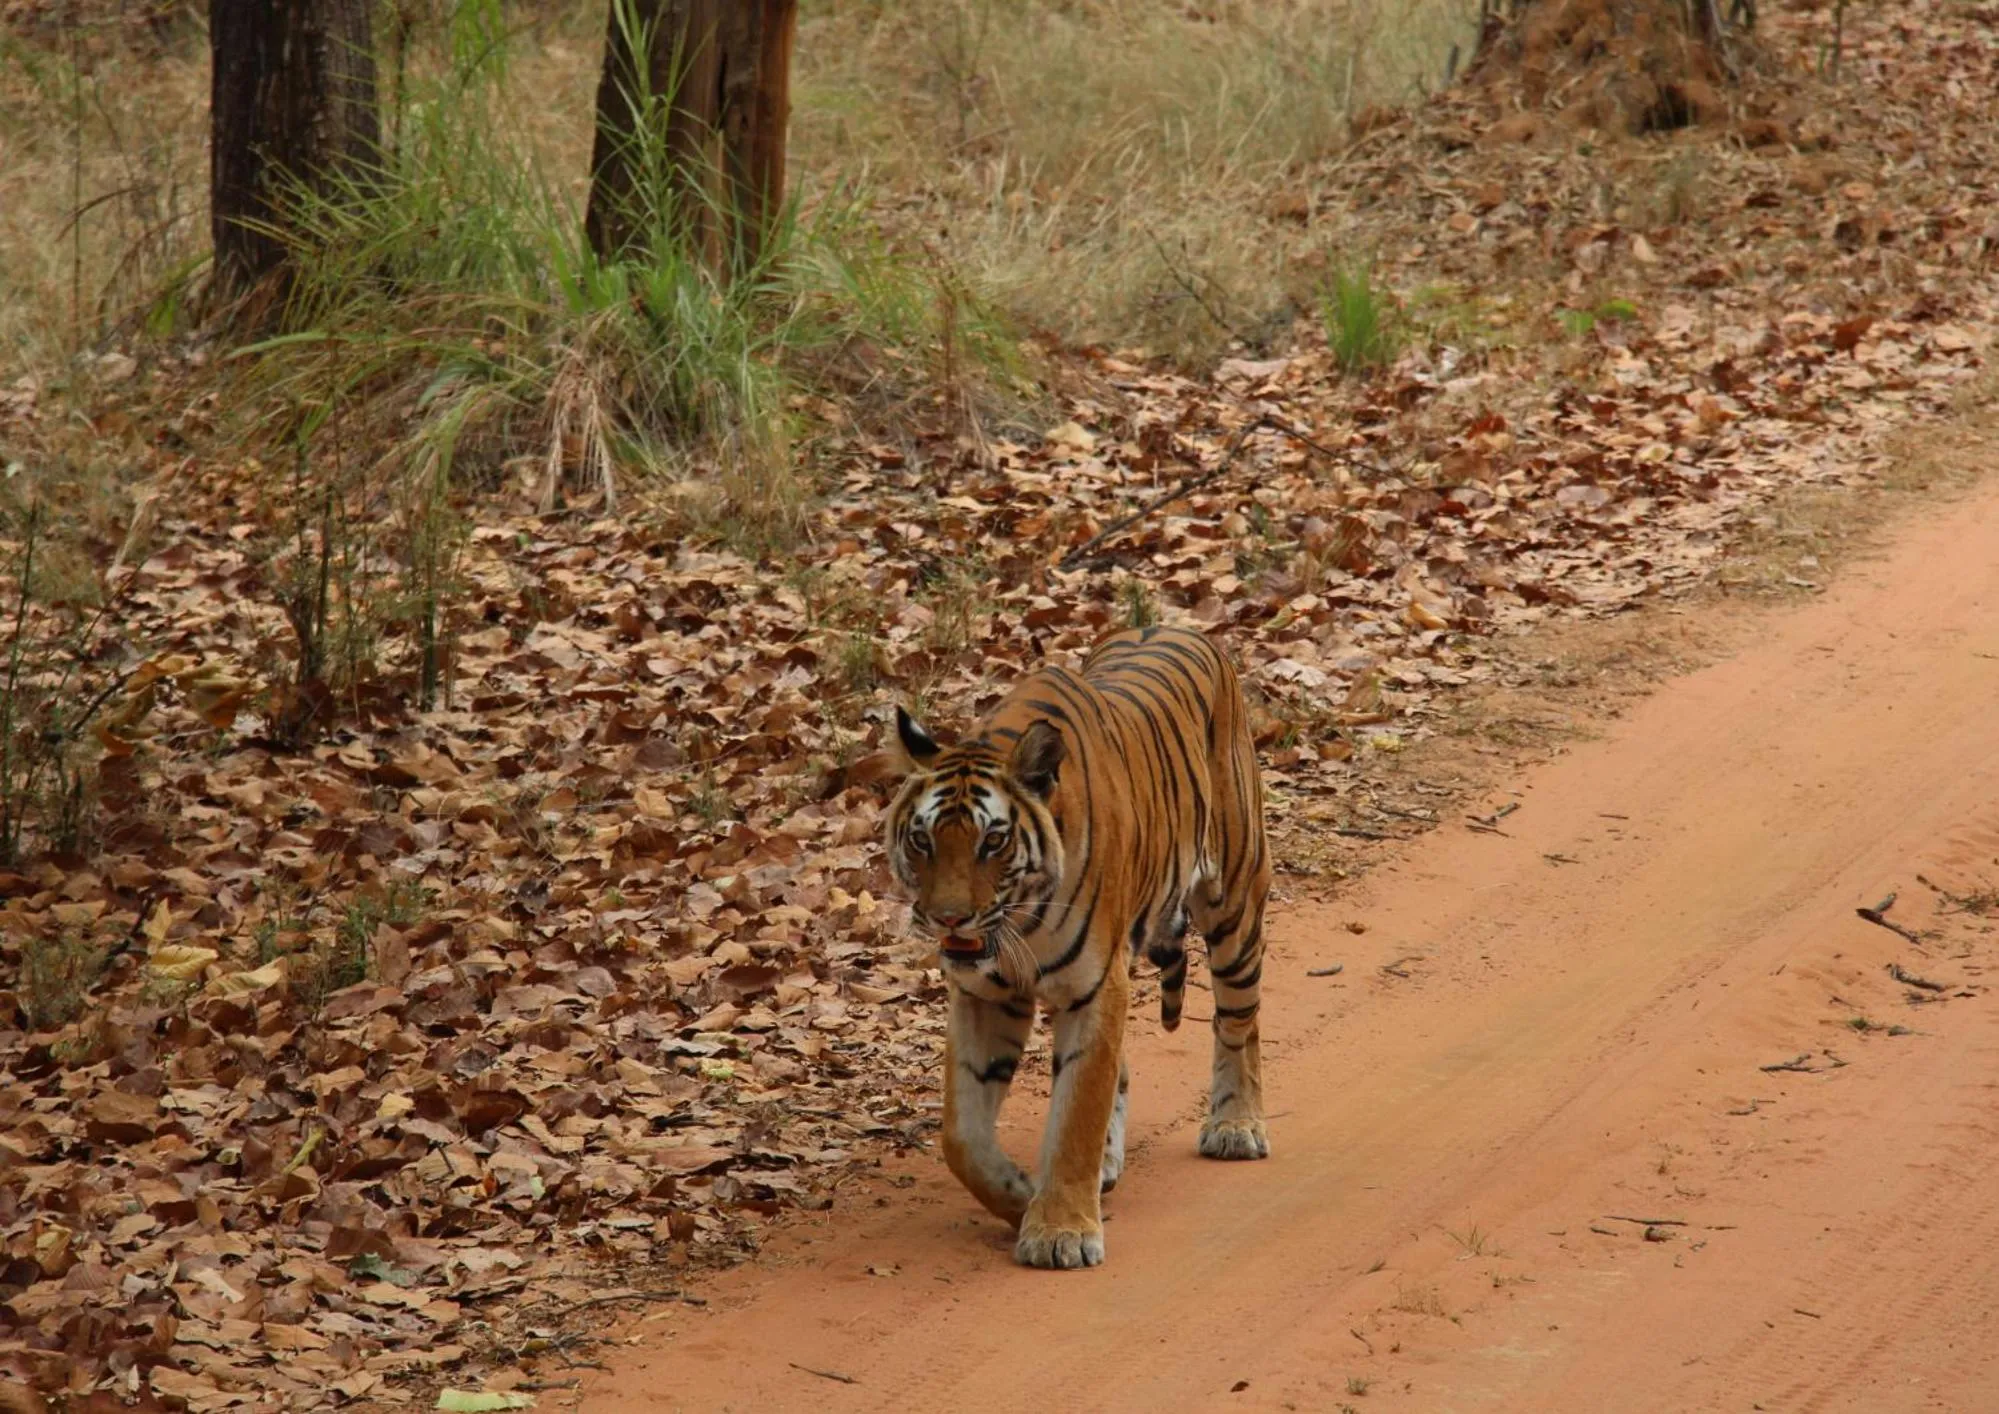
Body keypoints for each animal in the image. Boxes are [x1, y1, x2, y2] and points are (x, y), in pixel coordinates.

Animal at [883, 624, 1272, 1269]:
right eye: (922, 840)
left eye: (992, 841)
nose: (947, 917)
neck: (1020, 921)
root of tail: (1179, 627)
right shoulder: (985, 994)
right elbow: (961, 1136)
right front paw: (1019, 1195)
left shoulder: (1094, 987)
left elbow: (1076, 1115)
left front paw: (1058, 1231)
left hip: (1234, 904)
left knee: (1238, 1022)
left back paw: (1237, 1125)